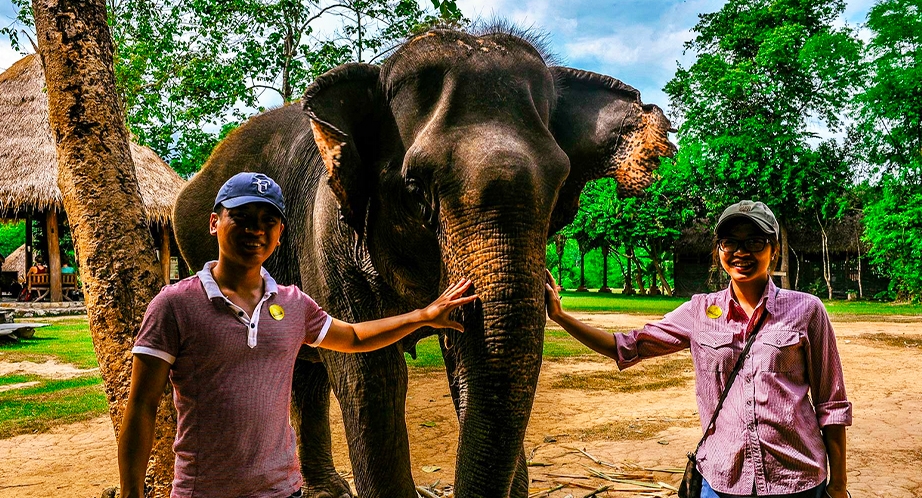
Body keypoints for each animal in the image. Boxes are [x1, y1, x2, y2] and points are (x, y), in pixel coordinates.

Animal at [174, 27, 676, 498]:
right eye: (415, 189)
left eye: (559, 188)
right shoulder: (326, 231)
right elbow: (370, 378)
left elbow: (465, 365)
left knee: (306, 370)